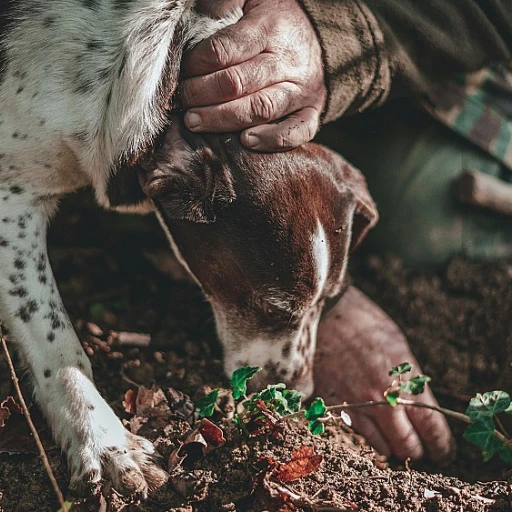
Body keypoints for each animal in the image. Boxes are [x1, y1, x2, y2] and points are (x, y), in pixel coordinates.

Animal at [0, 0, 376, 496]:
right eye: (273, 309)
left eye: (331, 303)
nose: (300, 393)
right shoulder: (11, 202)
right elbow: (56, 342)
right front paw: (104, 441)